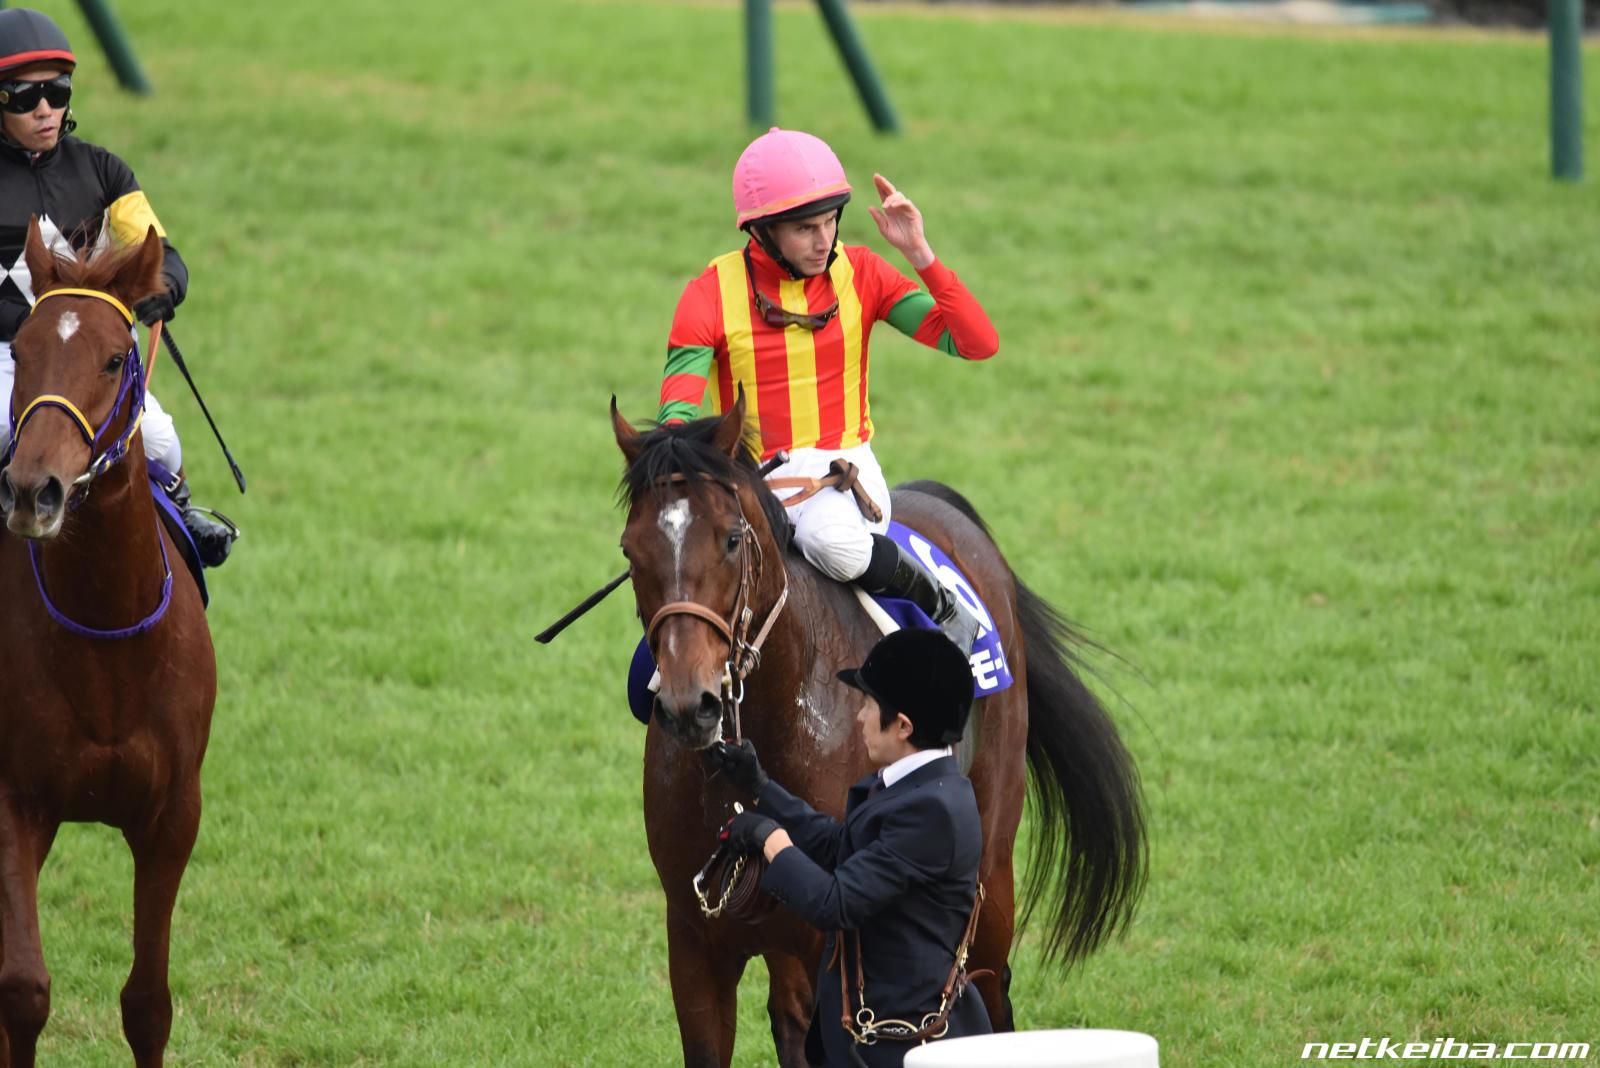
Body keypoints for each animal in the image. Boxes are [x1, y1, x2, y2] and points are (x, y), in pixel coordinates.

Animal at [0, 220, 216, 1061]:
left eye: (115, 357)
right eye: (22, 348)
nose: (34, 490)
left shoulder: (173, 813)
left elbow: (147, 1002)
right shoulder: (14, 802)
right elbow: (23, 991)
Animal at [604, 398, 1145, 1068]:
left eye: (731, 539)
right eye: (631, 551)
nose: (689, 705)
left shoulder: (828, 936)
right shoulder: (695, 939)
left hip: (990, 872)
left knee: (990, 990)